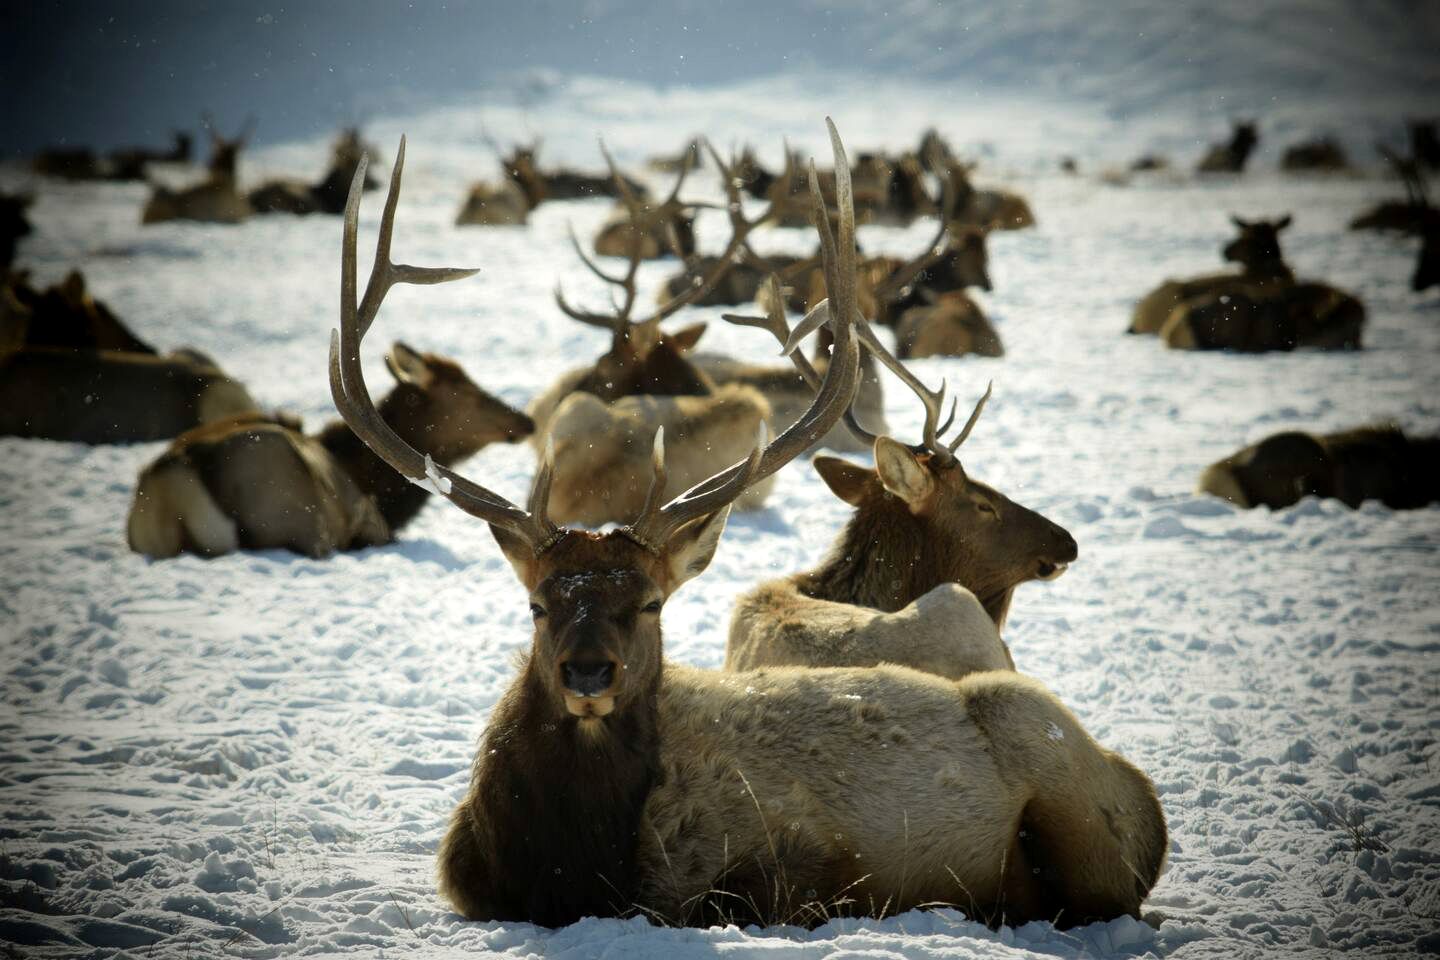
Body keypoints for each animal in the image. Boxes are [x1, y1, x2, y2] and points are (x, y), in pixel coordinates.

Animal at [321, 127, 1163, 932]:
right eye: (536, 604)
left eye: (652, 604)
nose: (588, 673)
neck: (571, 865)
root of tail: (1144, 798)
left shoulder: (792, 864)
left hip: (1063, 785)